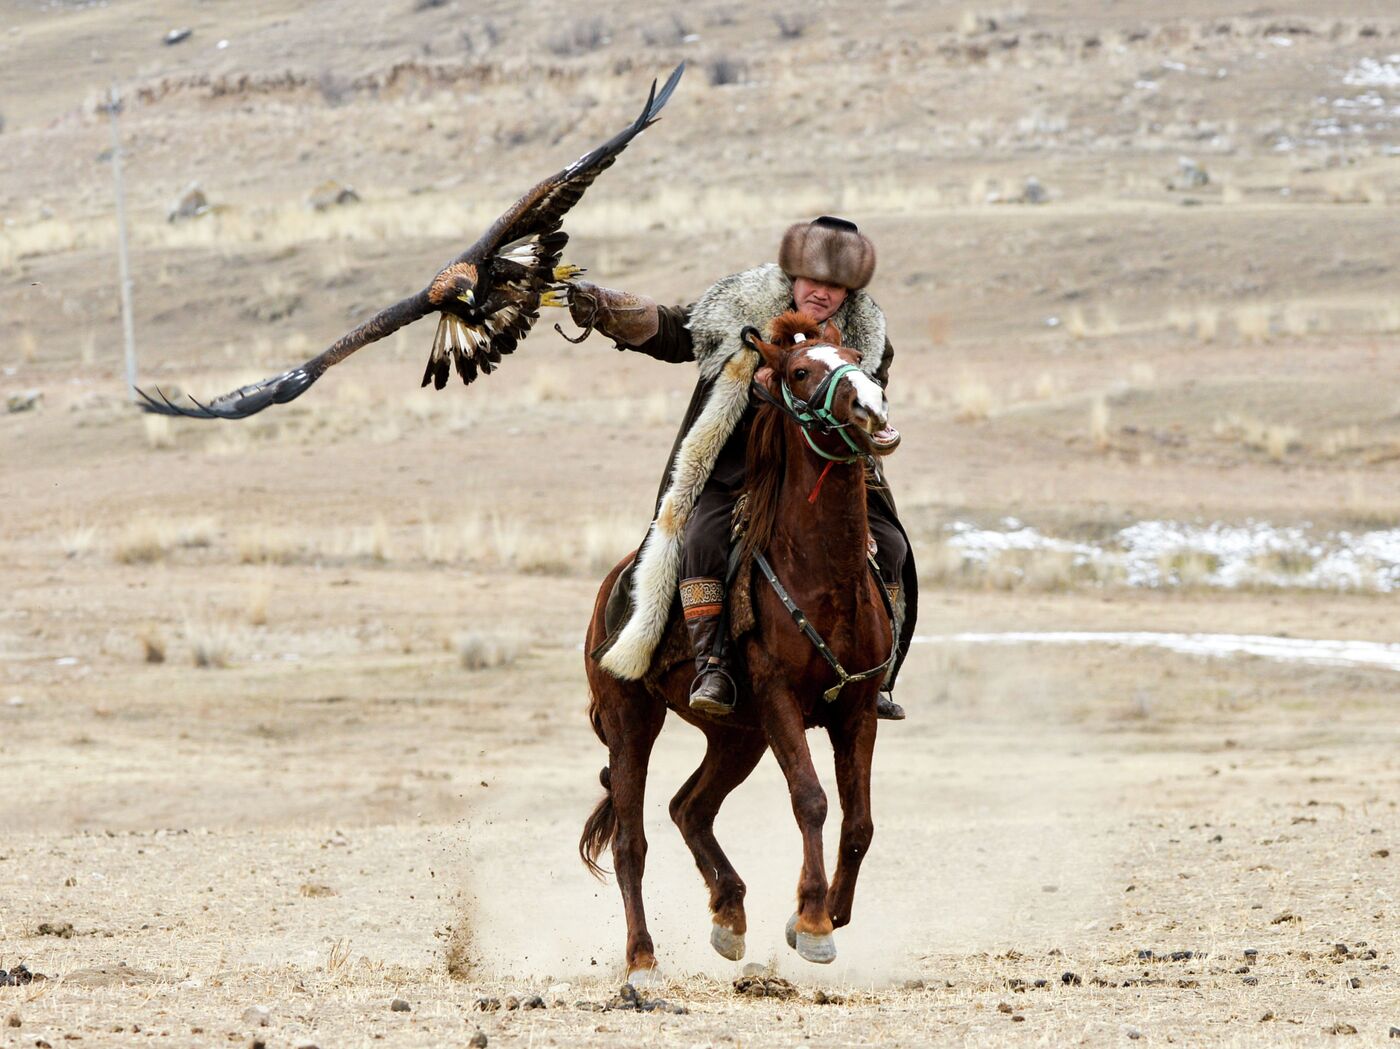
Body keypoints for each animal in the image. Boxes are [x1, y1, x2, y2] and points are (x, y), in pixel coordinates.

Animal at [576, 309, 896, 980]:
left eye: (860, 359)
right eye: (798, 372)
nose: (872, 407)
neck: (824, 577)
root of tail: (613, 588)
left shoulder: (856, 710)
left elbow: (859, 822)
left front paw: (826, 914)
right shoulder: (779, 699)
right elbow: (811, 800)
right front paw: (813, 922)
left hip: (736, 736)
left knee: (688, 808)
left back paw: (730, 914)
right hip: (631, 720)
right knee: (630, 840)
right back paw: (642, 959)